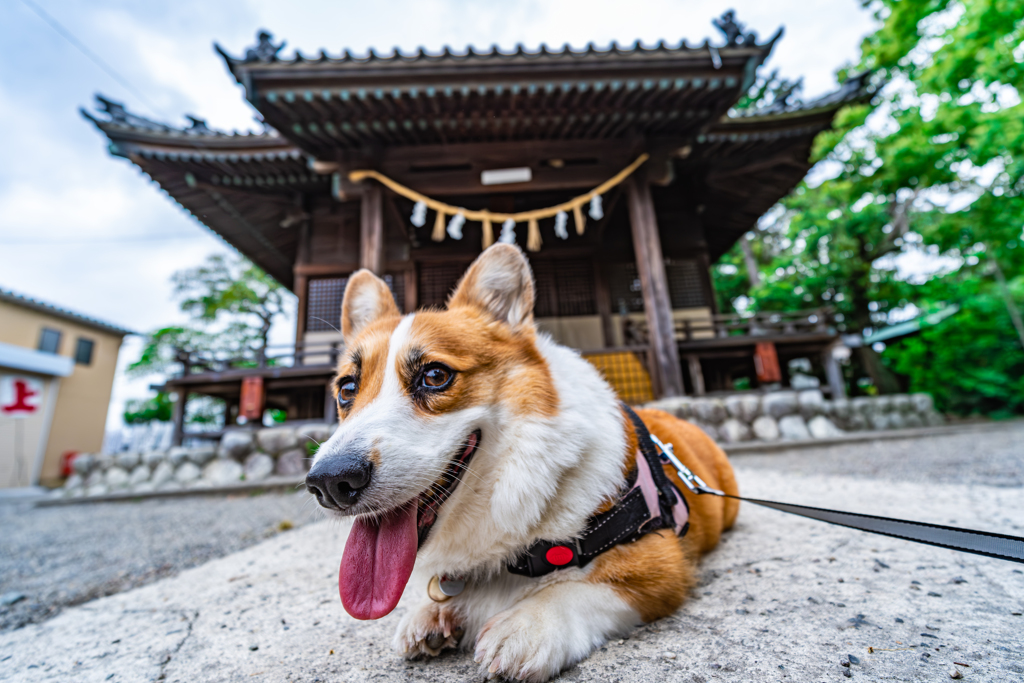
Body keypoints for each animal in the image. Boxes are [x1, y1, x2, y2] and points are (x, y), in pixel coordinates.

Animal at [303, 242, 737, 679]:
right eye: (347, 388)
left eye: (435, 376)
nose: (331, 482)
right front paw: (431, 612)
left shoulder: (660, 564)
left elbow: (575, 588)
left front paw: (528, 625)